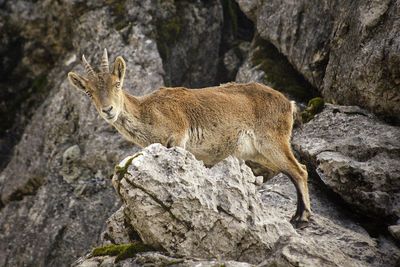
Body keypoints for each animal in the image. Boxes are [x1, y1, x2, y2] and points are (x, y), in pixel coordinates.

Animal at [68, 49, 312, 225]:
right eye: (88, 92)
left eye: (117, 84)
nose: (108, 110)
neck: (148, 112)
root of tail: (288, 103)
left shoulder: (178, 137)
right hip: (260, 153)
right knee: (297, 169)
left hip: (273, 140)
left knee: (299, 171)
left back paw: (302, 217)